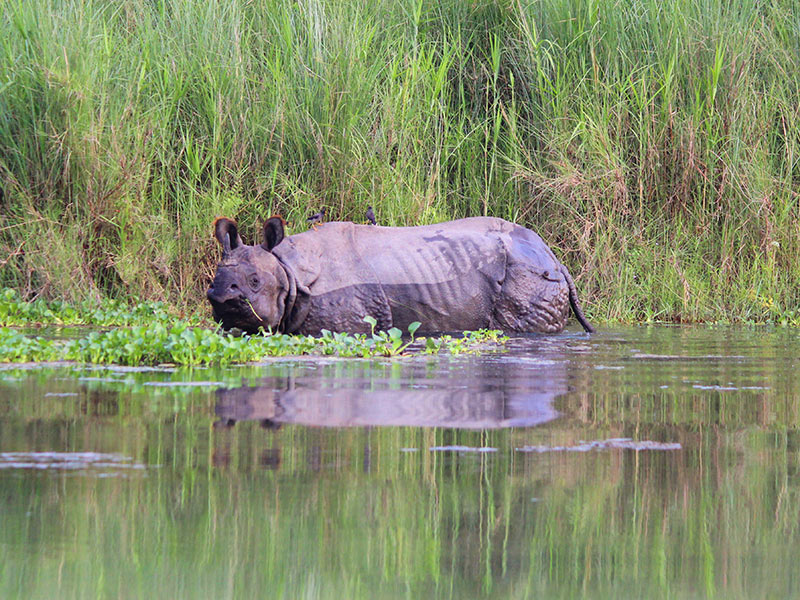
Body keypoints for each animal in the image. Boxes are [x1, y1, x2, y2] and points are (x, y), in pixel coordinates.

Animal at [206, 216, 592, 336]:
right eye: (212, 281)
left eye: (255, 282)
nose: (220, 298)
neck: (288, 269)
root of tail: (554, 257)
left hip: (529, 276)